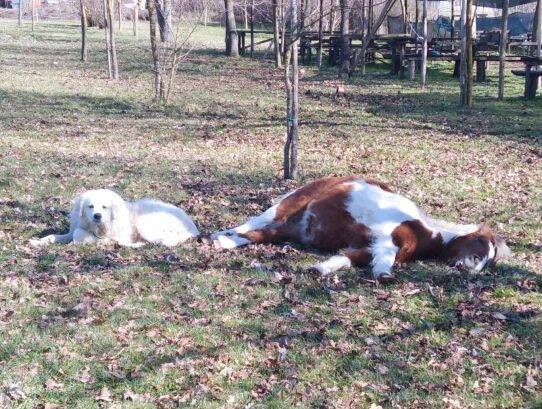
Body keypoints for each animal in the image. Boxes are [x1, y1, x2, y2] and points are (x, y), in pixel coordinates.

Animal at [214, 175, 516, 280]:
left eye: (490, 259)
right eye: (481, 244)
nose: (471, 268)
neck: (425, 231)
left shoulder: (365, 246)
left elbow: (346, 259)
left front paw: (319, 268)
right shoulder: (386, 239)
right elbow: (386, 259)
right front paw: (384, 274)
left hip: (293, 227)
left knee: (258, 234)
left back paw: (223, 242)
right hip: (289, 204)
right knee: (254, 222)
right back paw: (220, 235)